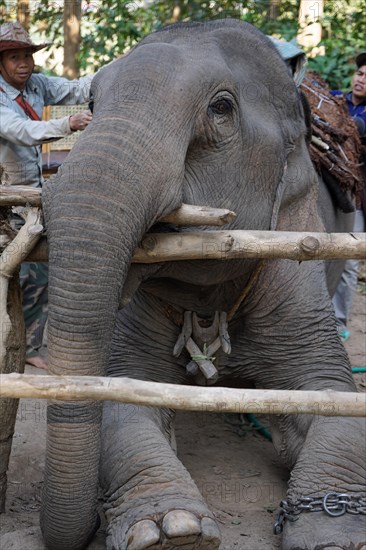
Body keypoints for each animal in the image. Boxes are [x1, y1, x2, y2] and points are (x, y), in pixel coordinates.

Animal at [38, 17, 364, 550]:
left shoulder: (295, 255)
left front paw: (336, 539)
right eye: (92, 103)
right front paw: (171, 530)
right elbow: (124, 401)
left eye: (221, 108)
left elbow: (336, 400)